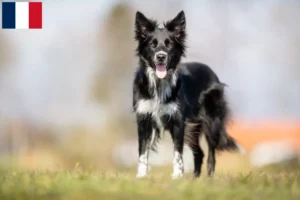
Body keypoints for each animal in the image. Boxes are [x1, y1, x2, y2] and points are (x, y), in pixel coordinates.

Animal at [132, 10, 240, 179]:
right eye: (152, 44)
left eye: (169, 44)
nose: (161, 56)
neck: (159, 83)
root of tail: (213, 73)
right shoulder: (144, 120)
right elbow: (142, 152)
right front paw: (141, 176)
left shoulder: (178, 122)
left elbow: (177, 153)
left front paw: (177, 176)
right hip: (192, 128)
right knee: (199, 153)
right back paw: (195, 179)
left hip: (211, 122)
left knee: (211, 153)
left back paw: (209, 179)